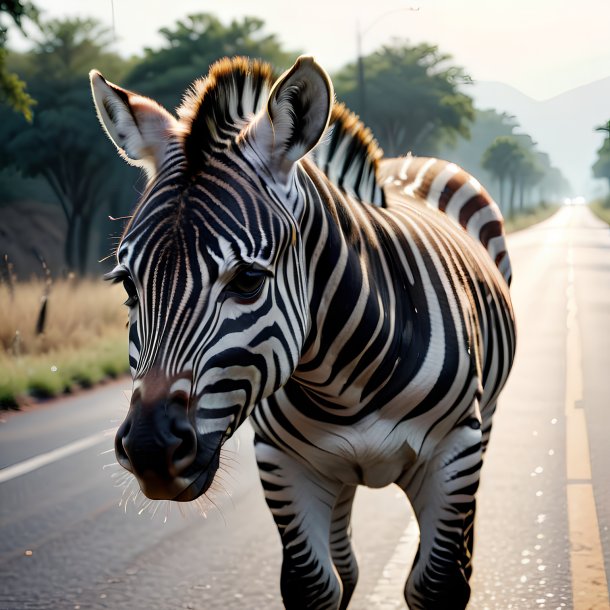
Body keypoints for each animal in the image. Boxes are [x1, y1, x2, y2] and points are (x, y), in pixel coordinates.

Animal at [90, 54, 512, 604]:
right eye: (128, 286)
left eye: (248, 280)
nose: (150, 450)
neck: (346, 385)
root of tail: (409, 161)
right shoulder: (285, 464)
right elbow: (315, 584)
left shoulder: (454, 452)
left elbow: (436, 581)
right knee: (347, 564)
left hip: (485, 424)